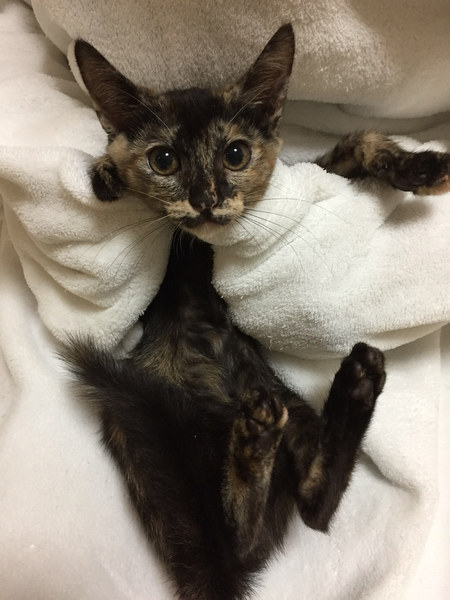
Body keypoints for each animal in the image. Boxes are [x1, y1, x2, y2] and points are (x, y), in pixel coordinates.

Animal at [65, 24, 449, 600]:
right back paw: (257, 443)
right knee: (250, 533)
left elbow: (356, 142)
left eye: (236, 154)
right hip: (141, 431)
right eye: (164, 160)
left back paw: (351, 386)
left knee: (312, 509)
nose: (206, 199)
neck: (202, 247)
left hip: (289, 408)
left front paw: (423, 167)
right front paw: (108, 170)